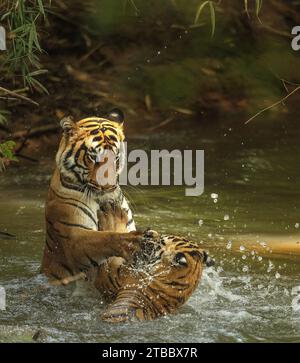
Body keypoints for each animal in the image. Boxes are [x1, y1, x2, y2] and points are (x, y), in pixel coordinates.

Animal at [40, 109, 143, 286]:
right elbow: (104, 238)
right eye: (93, 157)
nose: (108, 186)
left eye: (116, 157)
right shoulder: (73, 238)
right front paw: (135, 242)